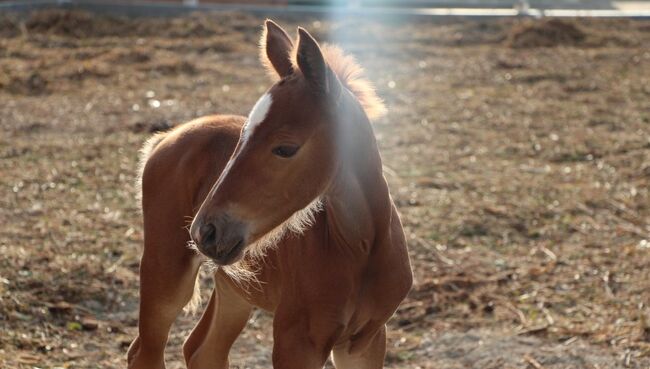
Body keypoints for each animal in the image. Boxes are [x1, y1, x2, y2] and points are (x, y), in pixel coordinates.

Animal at [126, 20, 410, 368]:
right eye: (241, 137)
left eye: (285, 148)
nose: (205, 231)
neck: (360, 247)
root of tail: (167, 136)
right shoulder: (295, 342)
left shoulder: (366, 340)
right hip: (165, 269)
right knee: (146, 351)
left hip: (234, 287)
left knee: (202, 349)